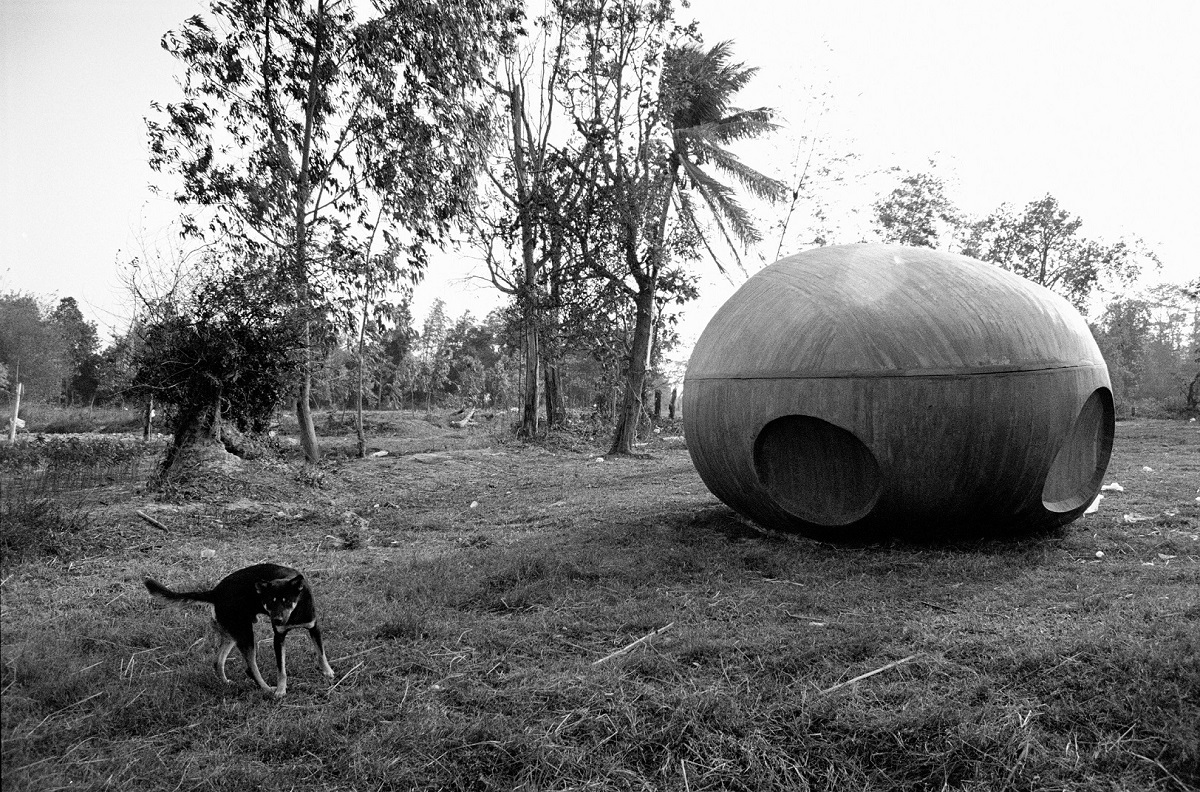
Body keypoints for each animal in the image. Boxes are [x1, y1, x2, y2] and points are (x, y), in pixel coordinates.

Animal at [144, 564, 333, 700]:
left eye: (286, 601)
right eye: (270, 602)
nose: (277, 620)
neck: (294, 612)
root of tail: (214, 592)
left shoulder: (313, 627)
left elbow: (321, 652)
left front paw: (327, 671)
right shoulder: (278, 637)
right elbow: (282, 669)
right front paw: (280, 690)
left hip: (233, 634)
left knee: (218, 661)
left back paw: (226, 683)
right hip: (245, 634)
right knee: (250, 668)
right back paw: (267, 689)